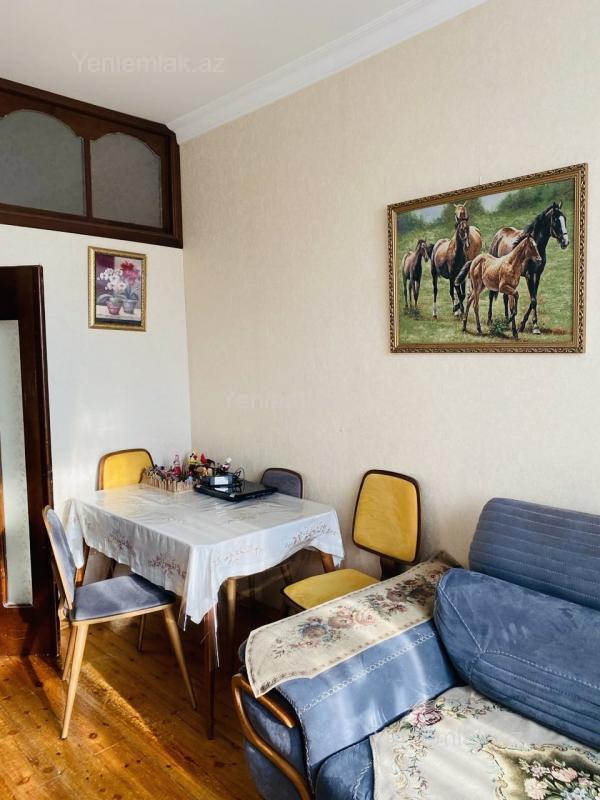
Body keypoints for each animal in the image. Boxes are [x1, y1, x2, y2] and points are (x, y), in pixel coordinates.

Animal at [487, 202, 569, 334]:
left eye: (565, 219)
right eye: (556, 220)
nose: (565, 242)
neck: (535, 246)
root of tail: (499, 234)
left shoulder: (537, 275)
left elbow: (533, 299)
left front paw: (524, 325)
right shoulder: (529, 276)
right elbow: (533, 300)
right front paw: (533, 327)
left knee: (505, 296)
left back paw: (506, 321)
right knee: (491, 295)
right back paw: (490, 321)